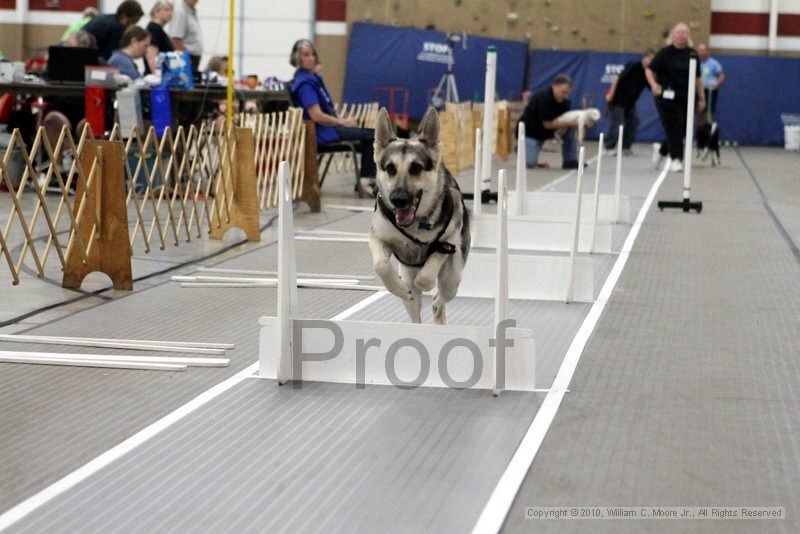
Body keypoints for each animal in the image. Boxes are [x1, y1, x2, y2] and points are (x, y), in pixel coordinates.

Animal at [368, 107, 468, 324]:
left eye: (416, 168)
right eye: (390, 168)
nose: (398, 199)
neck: (416, 224)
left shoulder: (448, 241)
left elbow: (427, 274)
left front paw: (425, 281)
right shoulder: (378, 238)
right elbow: (381, 265)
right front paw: (398, 288)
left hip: (452, 279)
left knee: (440, 298)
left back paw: (436, 307)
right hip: (410, 281)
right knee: (416, 315)